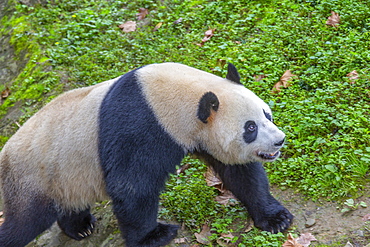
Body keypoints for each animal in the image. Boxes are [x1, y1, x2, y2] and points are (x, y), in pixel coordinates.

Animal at [0, 63, 292, 247]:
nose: (279, 141)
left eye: (267, 114)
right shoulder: (142, 124)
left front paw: (275, 218)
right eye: (250, 128)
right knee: (25, 223)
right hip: (32, 175)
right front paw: (154, 236)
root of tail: (6, 151)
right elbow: (132, 185)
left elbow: (240, 173)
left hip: (63, 176)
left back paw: (80, 226)